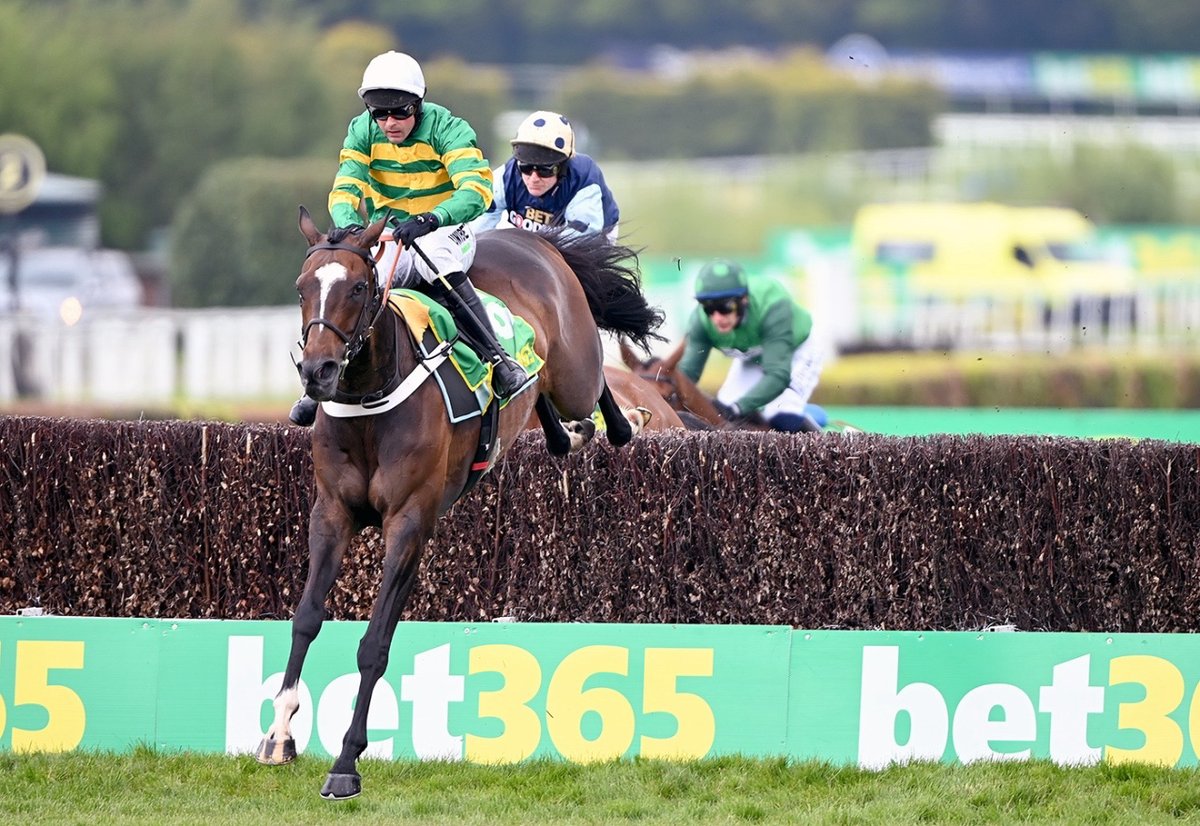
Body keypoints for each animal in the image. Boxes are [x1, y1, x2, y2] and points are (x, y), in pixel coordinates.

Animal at [255, 210, 667, 797]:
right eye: (301, 287)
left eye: (358, 288)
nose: (318, 372)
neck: (372, 401)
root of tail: (531, 238)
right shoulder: (330, 514)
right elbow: (306, 617)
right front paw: (279, 733)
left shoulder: (410, 522)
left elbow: (374, 643)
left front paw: (346, 762)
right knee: (549, 416)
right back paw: (568, 430)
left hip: (574, 372)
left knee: (597, 394)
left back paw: (625, 418)